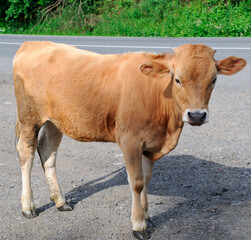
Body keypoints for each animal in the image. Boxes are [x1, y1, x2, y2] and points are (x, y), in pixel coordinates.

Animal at [13, 42, 245, 239]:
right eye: (177, 79)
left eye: (213, 80)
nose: (197, 115)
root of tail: (34, 43)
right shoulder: (130, 141)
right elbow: (137, 182)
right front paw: (138, 225)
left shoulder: (151, 144)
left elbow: (147, 180)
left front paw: (147, 215)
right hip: (29, 117)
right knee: (26, 154)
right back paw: (28, 206)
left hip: (56, 120)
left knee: (48, 153)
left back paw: (60, 201)